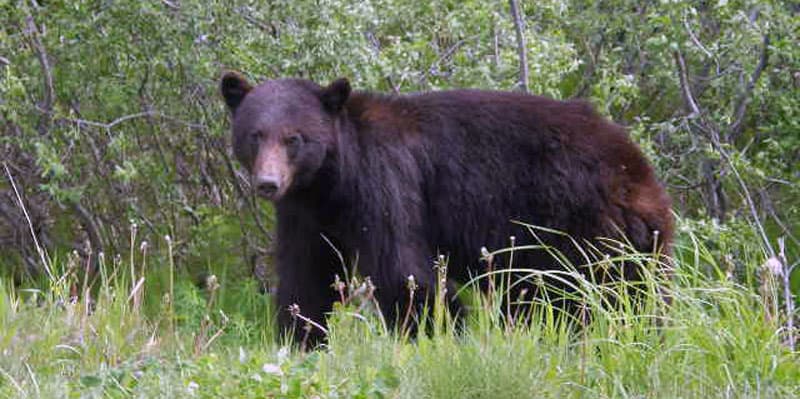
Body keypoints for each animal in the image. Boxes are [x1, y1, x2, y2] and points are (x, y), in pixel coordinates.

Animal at [220, 72, 676, 346]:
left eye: (294, 139)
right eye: (255, 135)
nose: (268, 183)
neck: (331, 181)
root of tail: (642, 171)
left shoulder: (385, 181)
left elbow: (402, 270)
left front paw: (435, 333)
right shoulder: (304, 213)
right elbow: (306, 277)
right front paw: (301, 339)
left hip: (580, 223)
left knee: (608, 293)